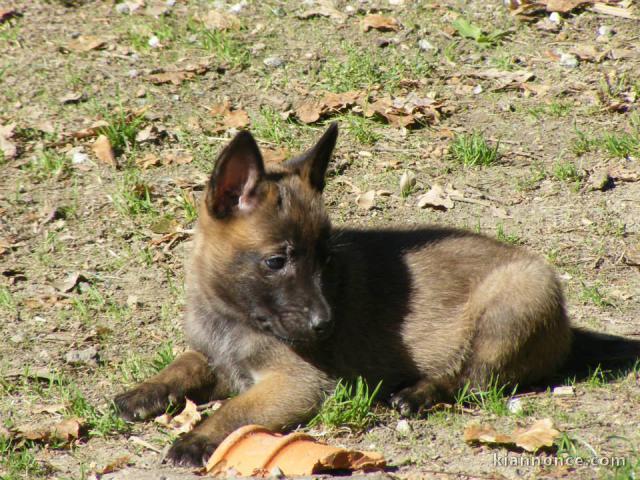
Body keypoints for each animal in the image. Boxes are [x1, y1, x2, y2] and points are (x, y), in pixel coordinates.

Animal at [114, 123, 632, 464]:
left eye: (325, 260)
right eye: (277, 262)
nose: (325, 324)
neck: (232, 315)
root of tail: (567, 326)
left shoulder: (296, 384)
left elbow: (238, 411)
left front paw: (199, 438)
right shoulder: (216, 358)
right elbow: (184, 363)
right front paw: (145, 391)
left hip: (510, 305)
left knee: (474, 381)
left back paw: (418, 394)